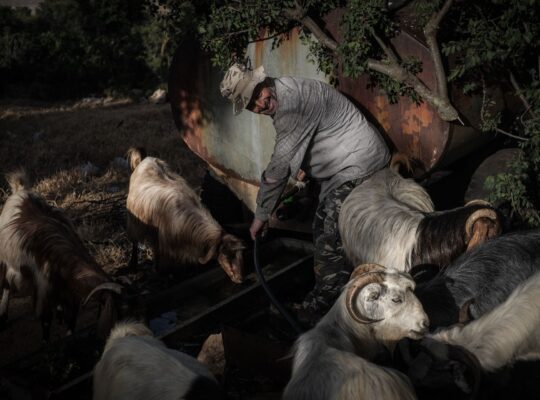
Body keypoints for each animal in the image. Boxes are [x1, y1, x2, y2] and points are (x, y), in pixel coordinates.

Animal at [0, 171, 121, 340]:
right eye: (114, 310)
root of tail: (21, 190)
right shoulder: (44, 288)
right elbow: (46, 320)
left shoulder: (66, 288)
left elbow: (72, 316)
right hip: (6, 261)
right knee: (6, 286)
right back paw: (3, 315)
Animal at [125, 148, 244, 284]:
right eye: (225, 254)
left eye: (241, 255)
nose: (240, 279)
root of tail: (145, 159)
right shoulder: (168, 247)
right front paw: (164, 275)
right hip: (134, 222)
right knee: (135, 242)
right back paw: (133, 266)